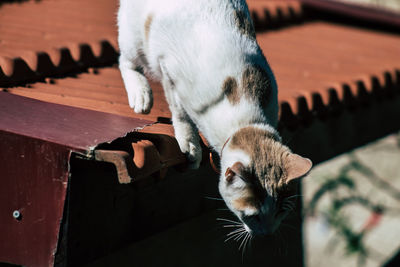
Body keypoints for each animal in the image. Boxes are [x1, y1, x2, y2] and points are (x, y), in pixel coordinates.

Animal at [119, 0, 312, 238]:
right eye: (252, 215)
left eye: (281, 212)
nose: (266, 234)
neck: (245, 120)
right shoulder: (169, 71)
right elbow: (180, 112)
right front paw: (190, 144)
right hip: (134, 35)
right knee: (126, 60)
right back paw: (141, 94)